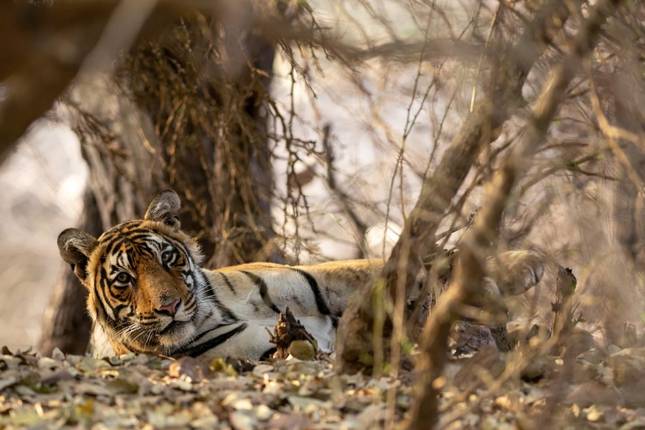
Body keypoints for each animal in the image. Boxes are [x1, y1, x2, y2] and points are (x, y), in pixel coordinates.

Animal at [58, 190, 545, 360]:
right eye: (124, 279)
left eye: (167, 259)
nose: (170, 306)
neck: (216, 309)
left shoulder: (313, 279)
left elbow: (399, 266)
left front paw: (521, 264)